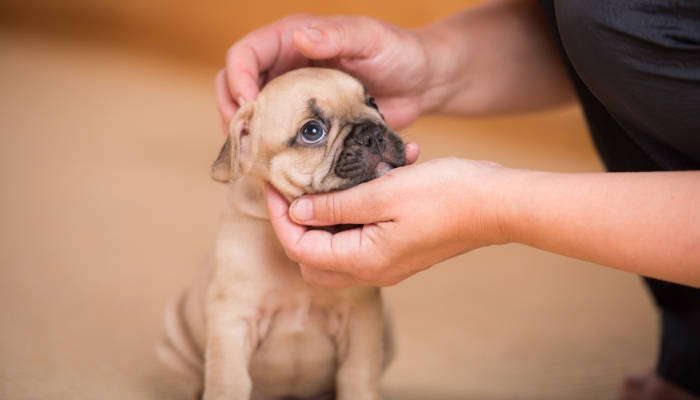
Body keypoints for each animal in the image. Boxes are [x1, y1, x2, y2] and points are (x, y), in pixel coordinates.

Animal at [158, 66, 404, 400]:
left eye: (374, 102)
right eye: (312, 131)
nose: (373, 132)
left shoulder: (361, 322)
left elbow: (358, 379)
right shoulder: (233, 323)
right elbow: (228, 383)